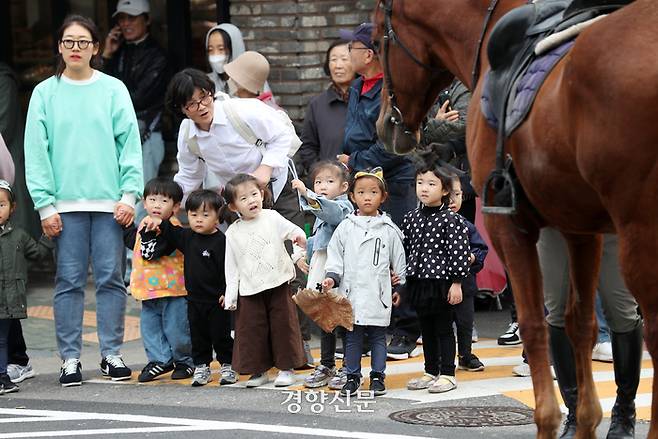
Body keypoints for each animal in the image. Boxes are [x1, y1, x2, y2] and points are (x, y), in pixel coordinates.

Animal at [372, 0, 656, 438]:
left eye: (374, 42)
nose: (384, 124)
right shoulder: (579, 228)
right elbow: (578, 325)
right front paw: (584, 419)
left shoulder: (508, 226)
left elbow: (535, 325)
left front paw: (548, 420)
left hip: (638, 238)